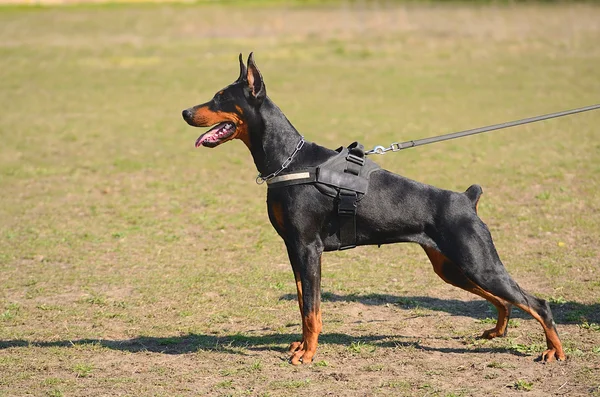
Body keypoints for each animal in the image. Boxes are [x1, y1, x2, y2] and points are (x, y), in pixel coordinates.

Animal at [180, 53, 564, 366]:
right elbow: (304, 304)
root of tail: (467, 199)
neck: (288, 160)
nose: (184, 111)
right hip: (453, 268)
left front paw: (308, 354)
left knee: (537, 303)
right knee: (507, 301)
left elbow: (313, 309)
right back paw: (496, 332)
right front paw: (301, 346)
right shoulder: (294, 249)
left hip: (478, 262)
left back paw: (553, 351)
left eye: (220, 97)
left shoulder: (309, 248)